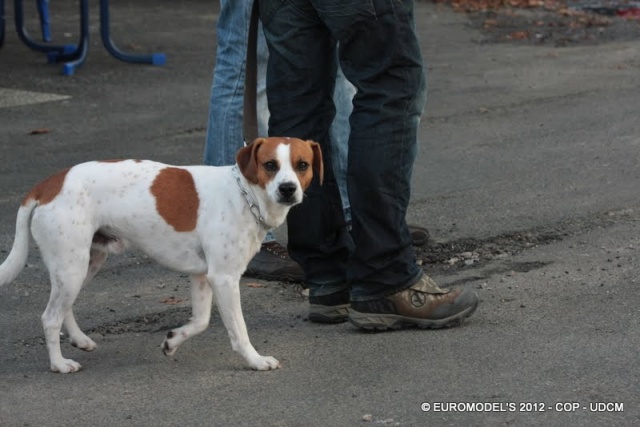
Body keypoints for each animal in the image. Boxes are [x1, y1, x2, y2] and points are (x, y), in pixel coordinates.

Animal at [0, 138, 320, 374]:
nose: (288, 189)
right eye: (270, 165)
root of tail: (48, 184)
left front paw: (173, 342)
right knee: (50, 317)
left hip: (84, 265)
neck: (245, 196)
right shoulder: (224, 278)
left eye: (302, 165)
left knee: (64, 307)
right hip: (72, 268)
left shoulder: (202, 276)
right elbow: (239, 330)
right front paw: (255, 360)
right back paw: (58, 364)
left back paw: (80, 339)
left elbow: (201, 321)